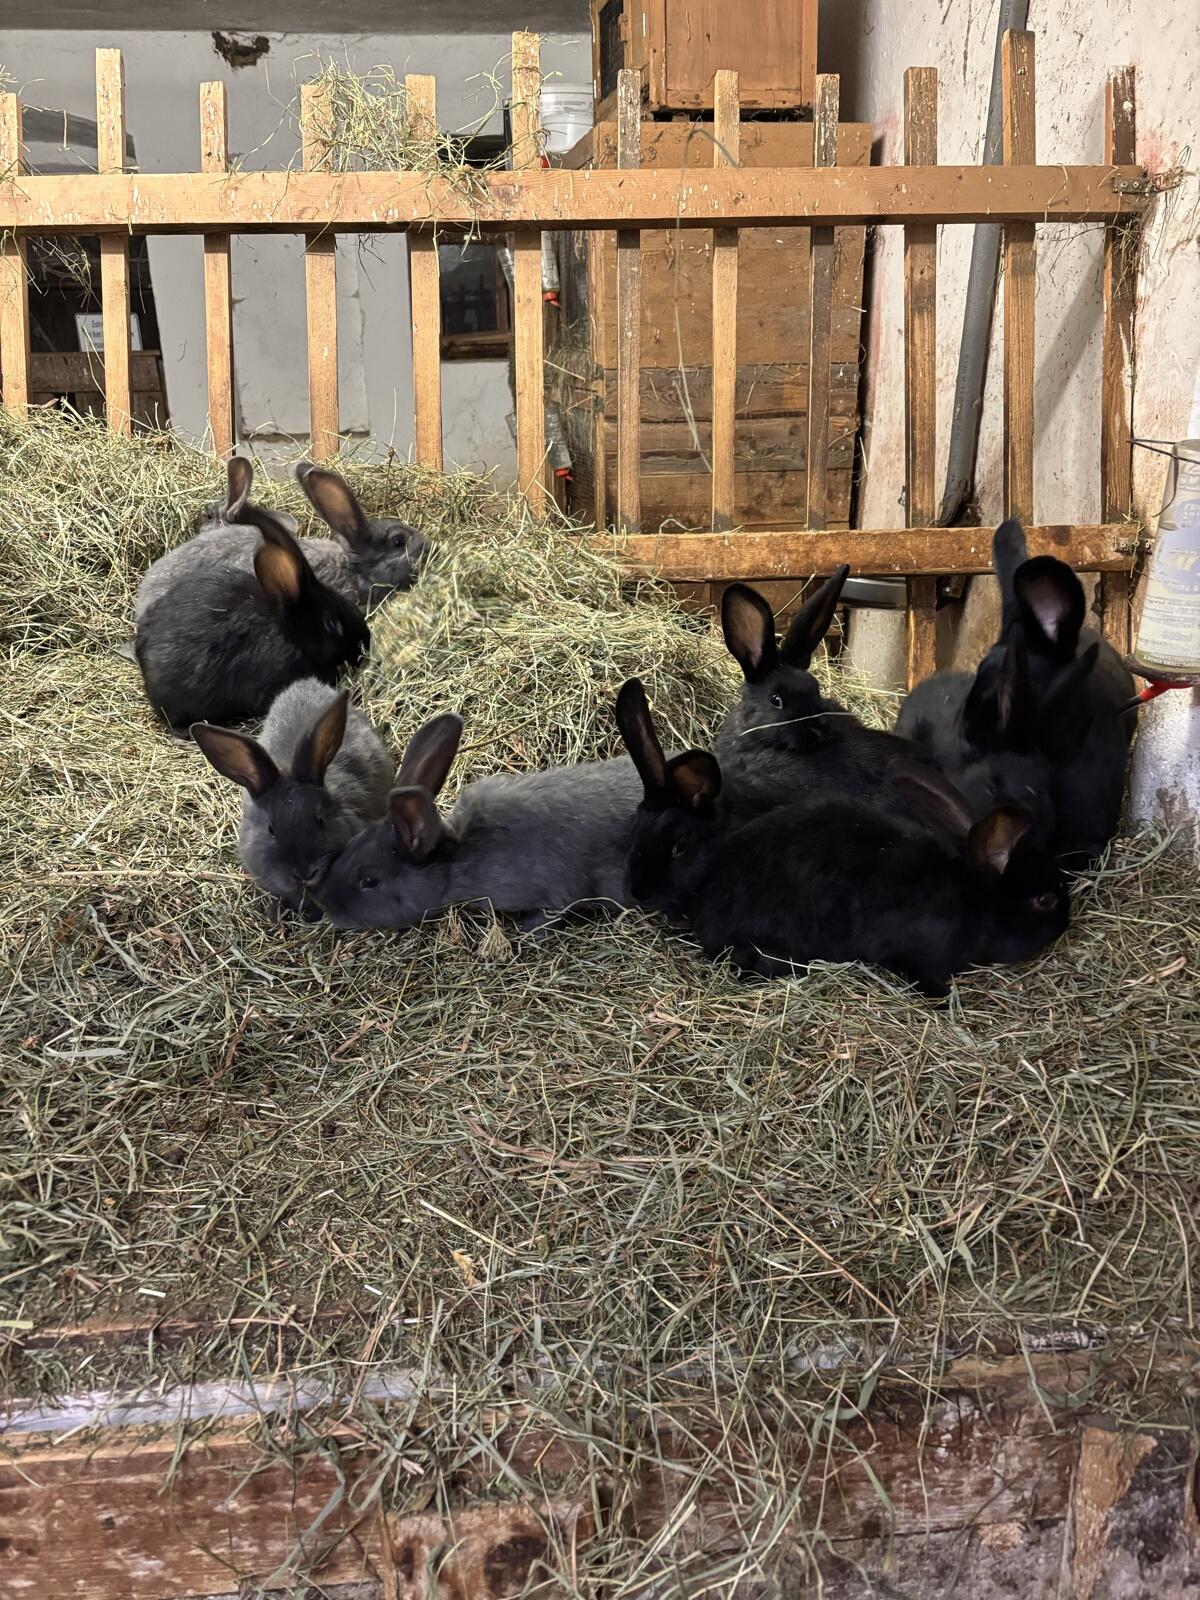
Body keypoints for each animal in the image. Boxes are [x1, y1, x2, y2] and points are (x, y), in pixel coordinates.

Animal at [316, 713, 647, 931]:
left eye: (369, 881)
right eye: (351, 845)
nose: (326, 907)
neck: (458, 857)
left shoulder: (549, 890)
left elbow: (552, 911)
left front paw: (524, 931)